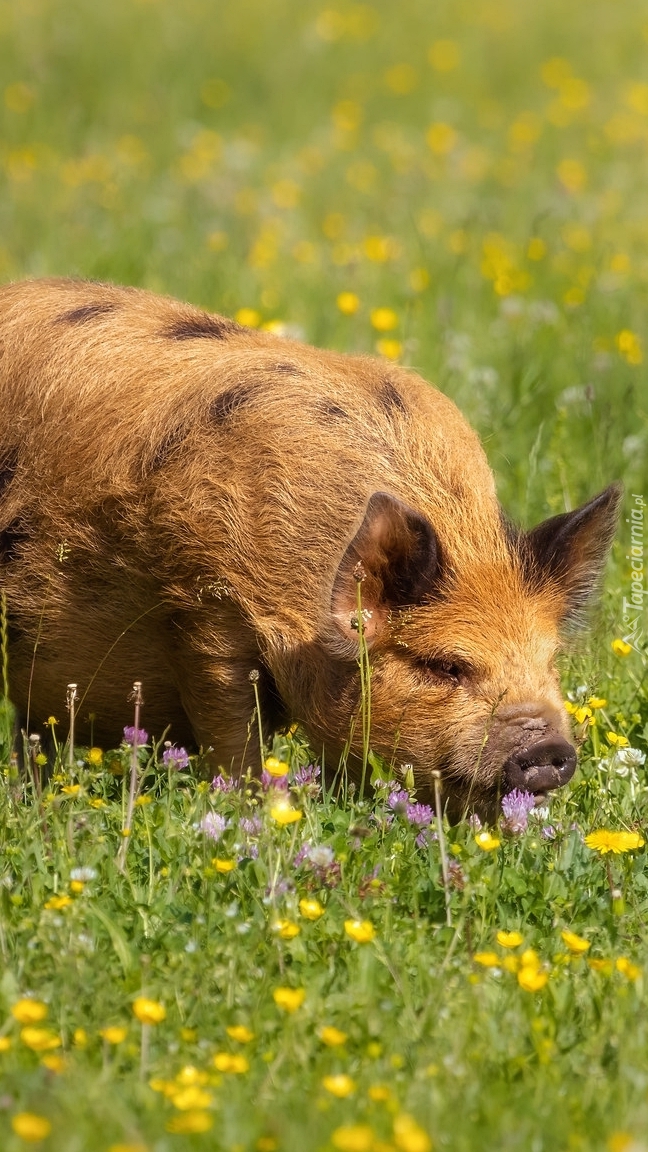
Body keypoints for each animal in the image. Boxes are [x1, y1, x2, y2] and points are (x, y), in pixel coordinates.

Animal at [0, 278, 622, 820]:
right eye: (446, 665)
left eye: (550, 660)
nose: (549, 752)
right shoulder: (201, 612)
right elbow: (235, 738)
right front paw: (257, 813)